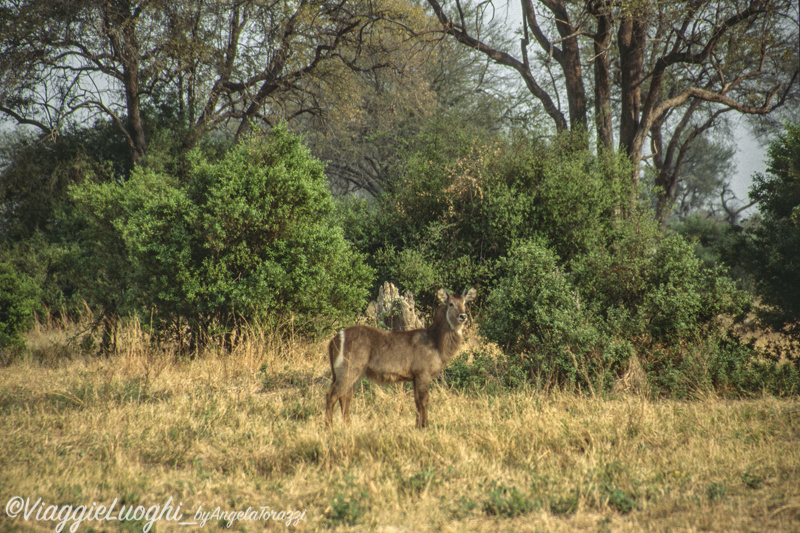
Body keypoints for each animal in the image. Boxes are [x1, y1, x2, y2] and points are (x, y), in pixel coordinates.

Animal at [324, 286, 476, 428]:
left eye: (464, 302)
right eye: (451, 303)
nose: (463, 316)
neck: (436, 342)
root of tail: (334, 340)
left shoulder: (415, 376)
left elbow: (417, 401)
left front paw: (417, 426)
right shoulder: (423, 373)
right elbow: (424, 400)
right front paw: (425, 426)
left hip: (350, 373)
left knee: (345, 396)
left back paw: (348, 425)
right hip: (349, 369)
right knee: (332, 394)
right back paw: (329, 427)